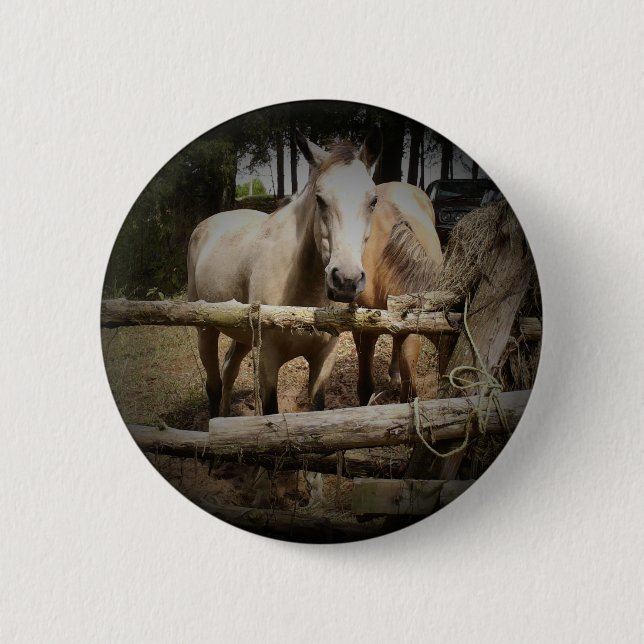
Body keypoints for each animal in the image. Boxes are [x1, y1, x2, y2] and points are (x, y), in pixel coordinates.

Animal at [187, 128, 382, 418]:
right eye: (320, 199)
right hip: (206, 330)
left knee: (229, 368)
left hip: (242, 335)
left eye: (373, 201)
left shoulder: (324, 359)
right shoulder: (267, 361)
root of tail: (205, 225)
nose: (345, 281)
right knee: (214, 384)